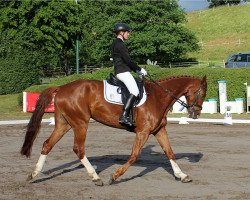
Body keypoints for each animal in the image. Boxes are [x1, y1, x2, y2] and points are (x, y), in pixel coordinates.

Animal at [20, 75, 207, 186]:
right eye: (202, 93)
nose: (196, 114)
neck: (158, 97)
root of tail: (61, 87)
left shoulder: (159, 130)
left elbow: (170, 152)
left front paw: (182, 175)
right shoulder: (143, 132)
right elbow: (134, 155)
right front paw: (115, 176)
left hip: (64, 124)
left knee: (47, 144)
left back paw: (33, 174)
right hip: (80, 123)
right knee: (78, 148)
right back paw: (96, 177)